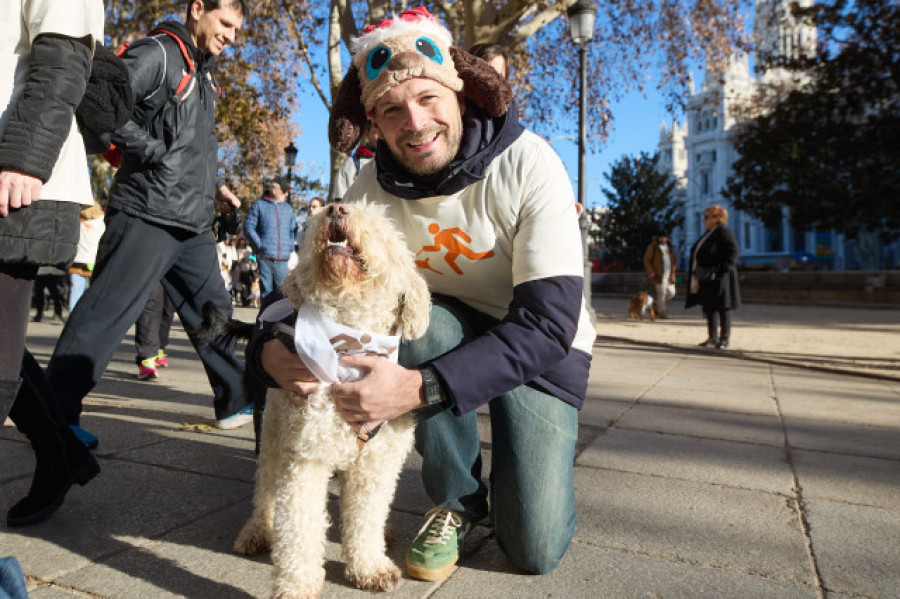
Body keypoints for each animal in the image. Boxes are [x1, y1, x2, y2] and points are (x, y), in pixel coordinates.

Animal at [236, 203, 432, 599]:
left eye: (380, 228)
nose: (337, 206)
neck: (350, 344)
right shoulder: (305, 458)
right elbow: (298, 529)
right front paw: (296, 586)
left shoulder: (376, 465)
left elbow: (366, 518)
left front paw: (369, 567)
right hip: (274, 433)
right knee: (265, 487)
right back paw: (257, 530)